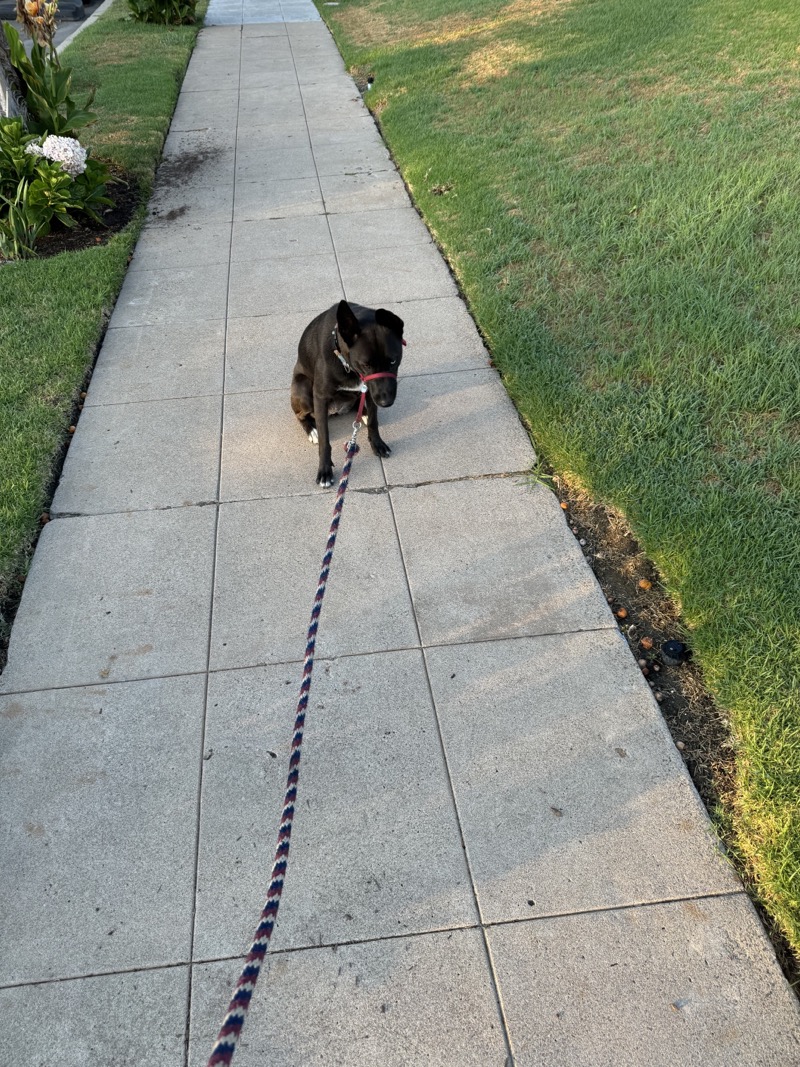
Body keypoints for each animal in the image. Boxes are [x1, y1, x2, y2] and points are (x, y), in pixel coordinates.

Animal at [292, 298, 407, 486]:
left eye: (393, 361)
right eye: (366, 364)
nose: (385, 402)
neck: (346, 363)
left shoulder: (369, 389)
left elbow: (374, 422)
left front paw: (377, 444)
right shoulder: (320, 397)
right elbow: (325, 440)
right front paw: (325, 470)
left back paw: (364, 413)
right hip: (304, 390)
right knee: (300, 415)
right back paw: (311, 430)